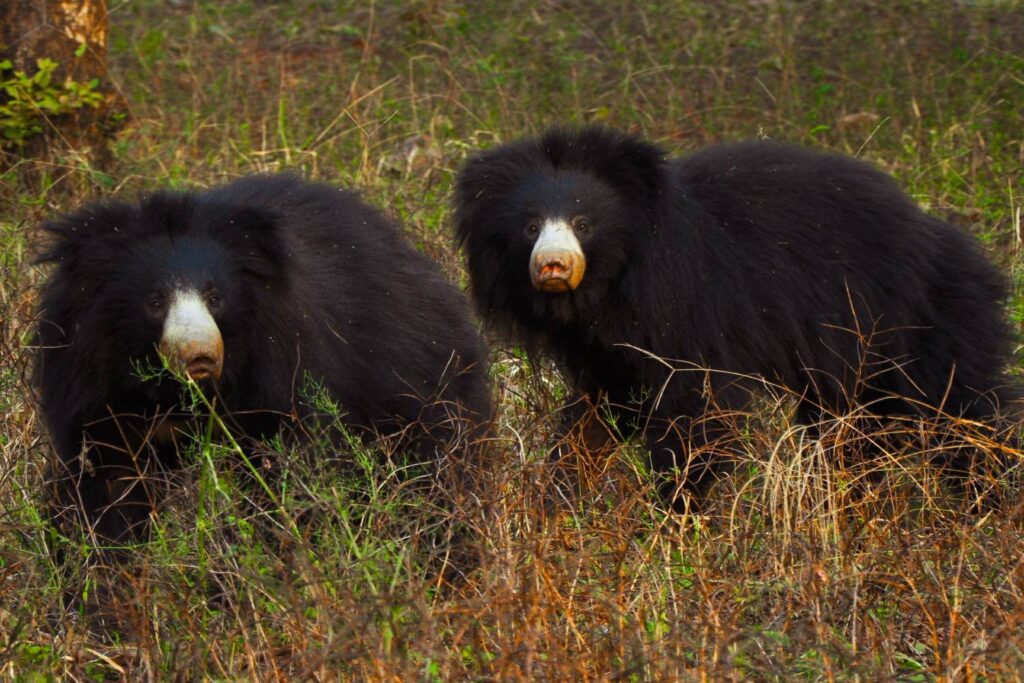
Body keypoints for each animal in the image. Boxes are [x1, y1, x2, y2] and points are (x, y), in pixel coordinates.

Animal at [36, 175, 491, 548]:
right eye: (155, 302)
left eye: (215, 296)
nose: (200, 356)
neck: (175, 396)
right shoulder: (96, 387)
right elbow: (108, 484)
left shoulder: (279, 368)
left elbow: (286, 470)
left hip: (421, 386)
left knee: (433, 473)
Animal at [454, 126, 1015, 501]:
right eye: (530, 226)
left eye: (583, 222)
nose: (552, 265)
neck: (612, 284)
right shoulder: (602, 345)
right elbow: (603, 407)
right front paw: (561, 491)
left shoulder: (689, 307)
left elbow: (695, 409)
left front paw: (675, 508)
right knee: (852, 434)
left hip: (916, 323)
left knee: (964, 412)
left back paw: (987, 496)